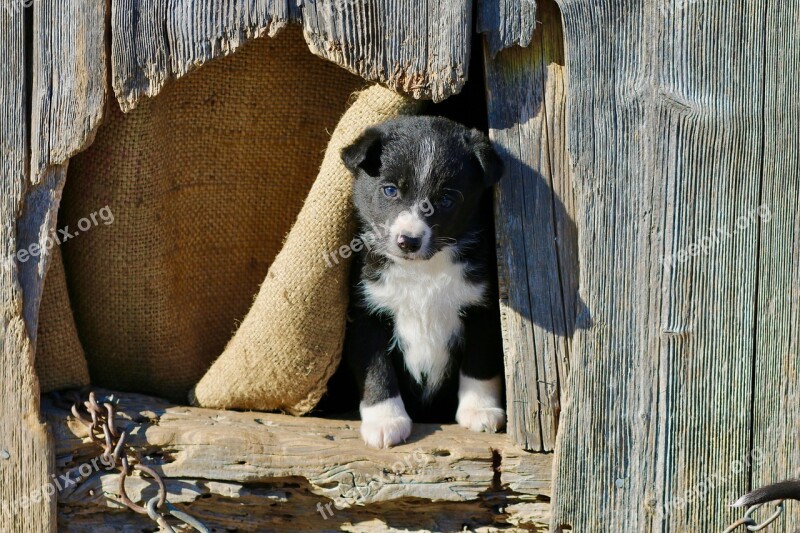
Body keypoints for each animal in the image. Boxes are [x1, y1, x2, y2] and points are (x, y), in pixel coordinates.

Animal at [340, 117, 504, 448]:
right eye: (390, 190)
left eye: (446, 199)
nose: (408, 241)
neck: (422, 271)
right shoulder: (365, 312)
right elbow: (376, 368)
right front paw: (385, 422)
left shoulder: (483, 307)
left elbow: (479, 361)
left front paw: (480, 410)